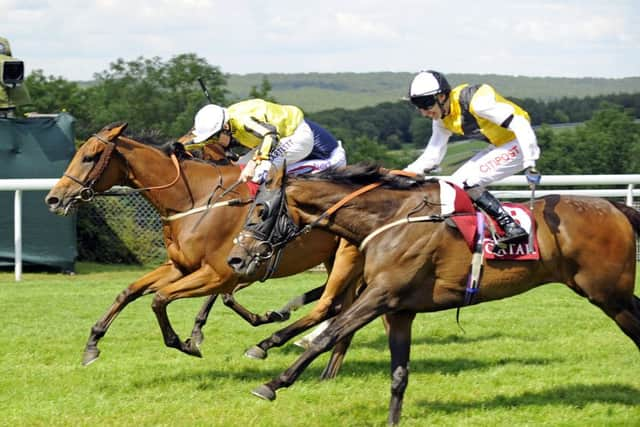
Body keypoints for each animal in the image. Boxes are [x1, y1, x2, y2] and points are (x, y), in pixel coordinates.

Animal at [43, 122, 364, 372]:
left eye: (90, 156)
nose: (54, 198)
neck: (195, 200)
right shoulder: (181, 266)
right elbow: (129, 292)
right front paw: (92, 344)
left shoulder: (220, 273)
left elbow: (161, 298)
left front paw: (186, 342)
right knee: (337, 301)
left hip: (345, 257)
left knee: (333, 303)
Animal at [228, 163, 640, 424]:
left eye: (261, 210)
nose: (236, 258)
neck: (391, 220)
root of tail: (615, 206)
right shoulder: (397, 310)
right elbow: (398, 374)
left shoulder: (378, 296)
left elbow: (327, 336)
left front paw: (272, 384)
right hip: (611, 292)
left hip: (607, 294)